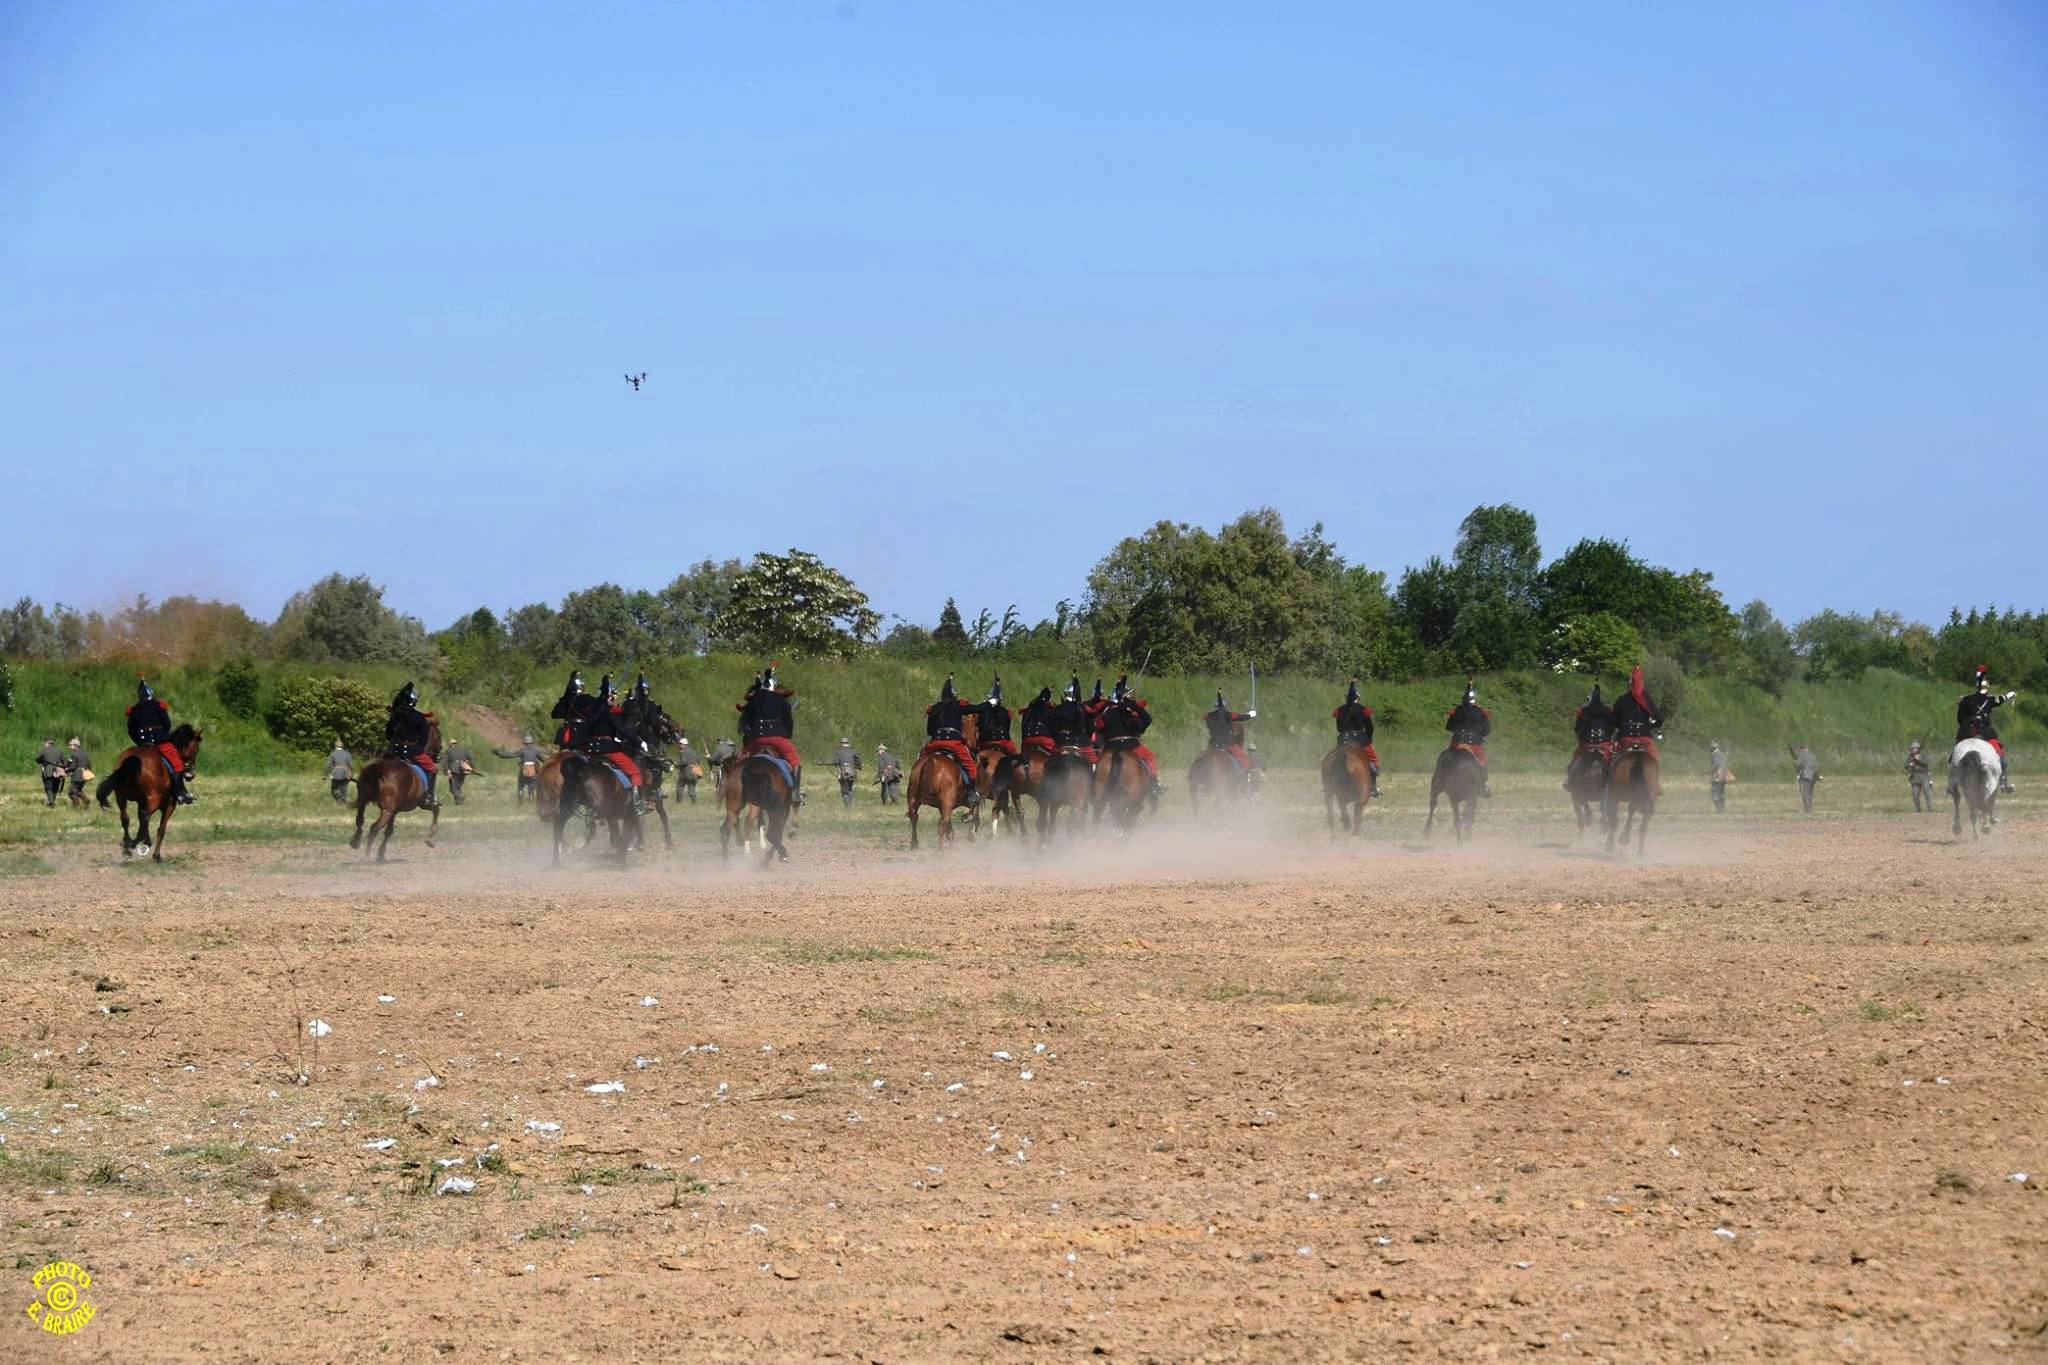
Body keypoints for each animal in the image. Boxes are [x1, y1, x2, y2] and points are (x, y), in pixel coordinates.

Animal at [96, 724, 201, 863]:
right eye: (196, 750)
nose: (191, 774)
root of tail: (134, 758)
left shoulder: (142, 802)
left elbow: (141, 821)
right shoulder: (169, 805)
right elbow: (161, 829)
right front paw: (156, 856)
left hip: (121, 797)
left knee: (126, 818)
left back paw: (128, 845)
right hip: (153, 799)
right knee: (145, 816)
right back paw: (140, 842)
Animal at [350, 716, 442, 863]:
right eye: (439, 736)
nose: (439, 753)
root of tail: (379, 770)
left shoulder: (396, 810)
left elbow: (389, 831)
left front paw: (381, 854)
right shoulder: (421, 804)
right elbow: (436, 809)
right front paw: (430, 838)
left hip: (364, 801)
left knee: (359, 821)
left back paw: (356, 842)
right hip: (387, 810)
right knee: (374, 828)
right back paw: (367, 856)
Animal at [909, 712, 978, 847]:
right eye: (977, 730)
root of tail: (931, 762)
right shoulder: (966, 799)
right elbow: (975, 809)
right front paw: (971, 832)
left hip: (913, 797)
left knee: (914, 817)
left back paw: (915, 844)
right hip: (946, 801)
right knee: (942, 823)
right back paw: (940, 850)